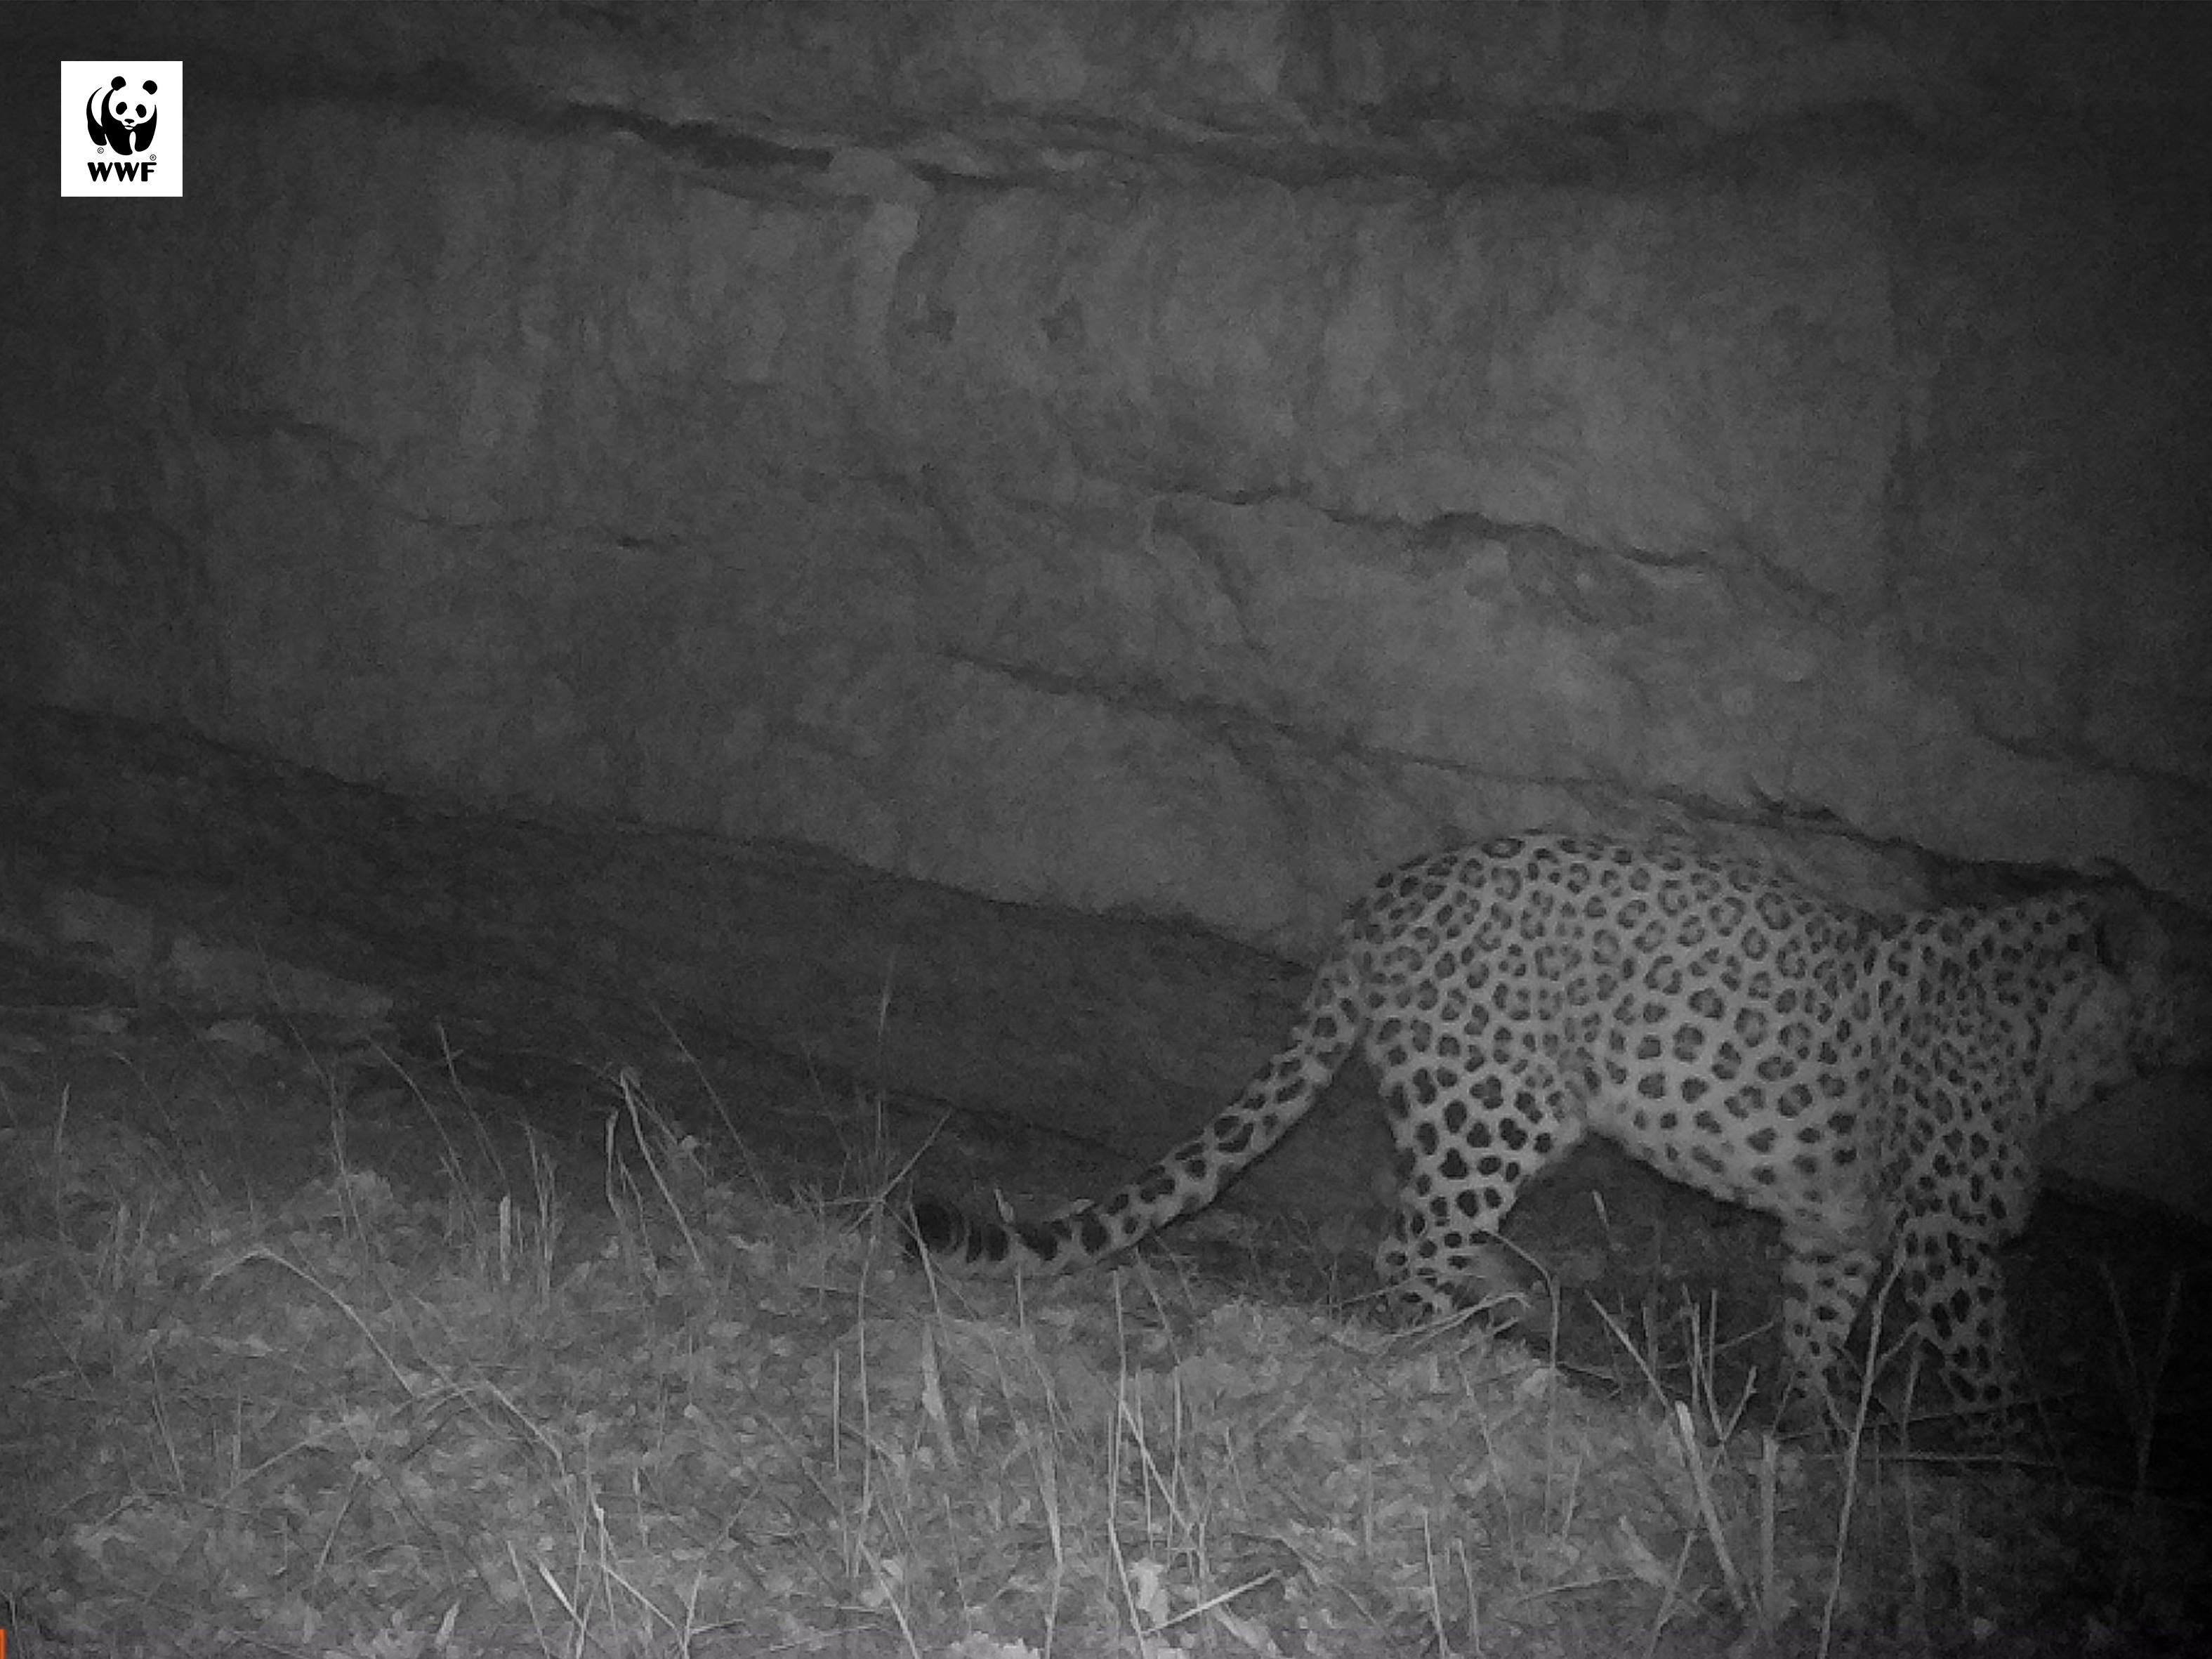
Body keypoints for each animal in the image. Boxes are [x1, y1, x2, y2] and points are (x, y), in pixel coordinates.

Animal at [910, 833, 2203, 1419]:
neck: (2066, 1039)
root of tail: (1384, 893)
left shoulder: (1839, 1222)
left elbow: (1816, 1319)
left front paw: (1819, 1416)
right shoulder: (1946, 1230)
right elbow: (1986, 1357)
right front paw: (2015, 1445)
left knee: (1436, 1232)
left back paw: (1512, 1301)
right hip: (1497, 1102)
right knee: (1407, 1242)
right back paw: (1474, 1342)